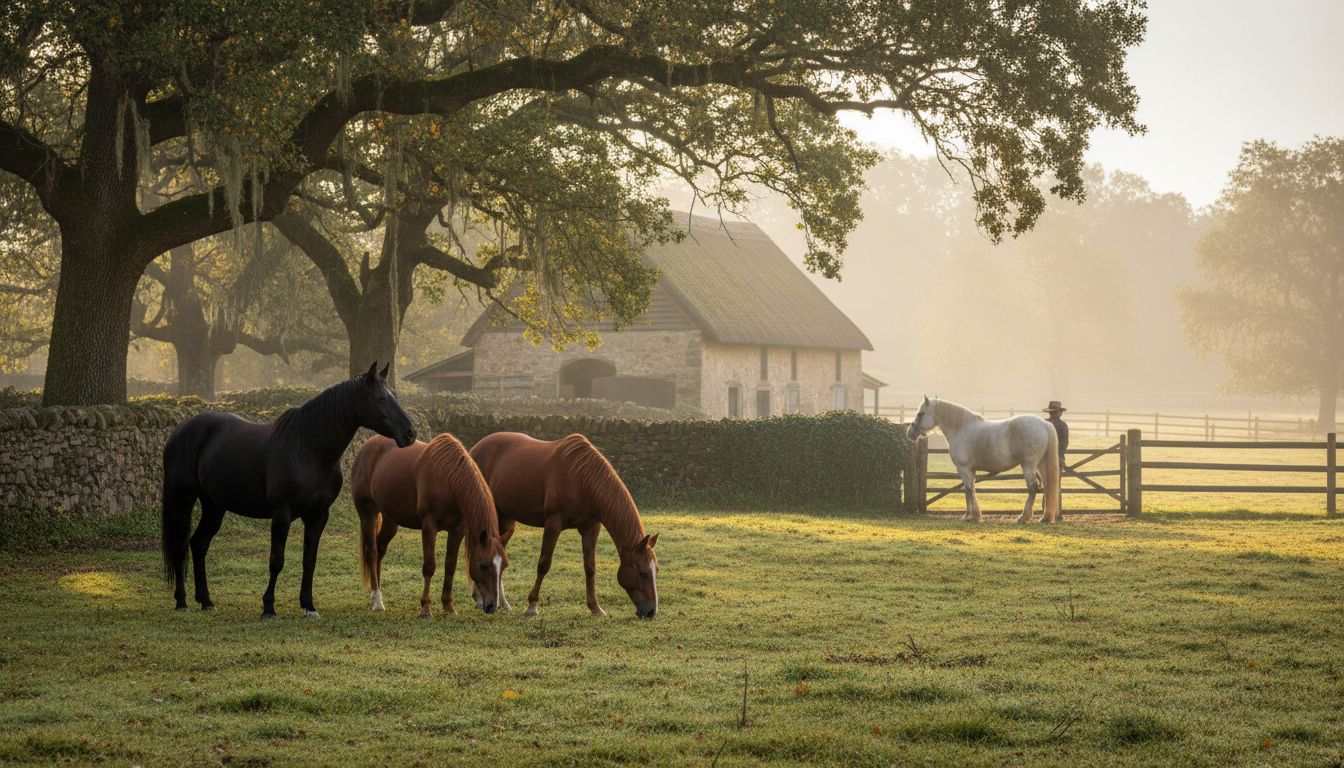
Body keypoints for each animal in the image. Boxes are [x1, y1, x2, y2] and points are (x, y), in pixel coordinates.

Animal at [161, 363, 416, 618]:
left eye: (395, 396)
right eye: (380, 397)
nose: (410, 433)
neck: (308, 450)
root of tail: (180, 430)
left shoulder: (318, 516)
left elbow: (309, 561)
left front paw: (309, 606)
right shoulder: (281, 514)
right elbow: (276, 561)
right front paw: (268, 607)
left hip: (214, 505)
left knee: (199, 544)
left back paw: (205, 600)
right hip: (183, 499)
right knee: (181, 546)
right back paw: (181, 601)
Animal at [350, 432, 507, 617]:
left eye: (504, 565)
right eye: (483, 565)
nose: (492, 606)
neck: (448, 480)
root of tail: (366, 447)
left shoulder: (457, 530)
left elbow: (450, 565)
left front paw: (448, 606)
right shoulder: (429, 527)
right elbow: (429, 566)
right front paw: (425, 609)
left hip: (390, 519)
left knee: (380, 549)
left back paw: (378, 593)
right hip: (368, 514)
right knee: (372, 553)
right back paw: (376, 599)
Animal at [467, 432, 659, 619]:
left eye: (656, 570)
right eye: (642, 573)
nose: (651, 611)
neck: (581, 478)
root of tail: (477, 447)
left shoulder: (591, 528)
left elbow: (590, 568)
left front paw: (595, 608)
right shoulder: (553, 523)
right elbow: (544, 564)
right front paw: (532, 606)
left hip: (506, 521)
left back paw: (502, 604)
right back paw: (481, 600)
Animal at [906, 396, 1061, 523]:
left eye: (920, 414)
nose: (910, 433)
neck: (960, 428)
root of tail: (1044, 424)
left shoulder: (963, 468)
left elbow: (968, 490)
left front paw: (969, 516)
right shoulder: (971, 470)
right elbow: (971, 489)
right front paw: (975, 515)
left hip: (1028, 465)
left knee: (1033, 487)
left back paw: (1024, 517)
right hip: (1040, 464)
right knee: (1047, 486)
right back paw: (1045, 517)